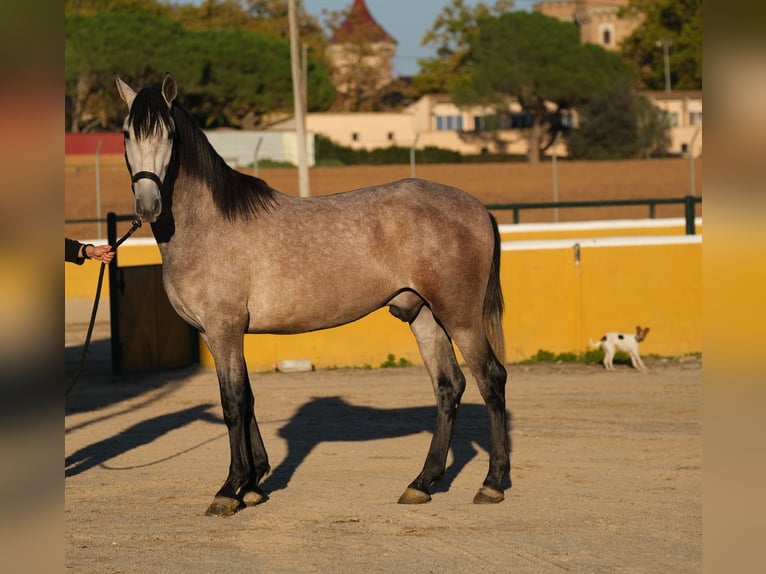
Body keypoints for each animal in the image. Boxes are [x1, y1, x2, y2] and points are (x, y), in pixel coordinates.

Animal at [115, 74, 510, 520]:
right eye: (127, 133)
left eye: (168, 134)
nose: (148, 205)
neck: (208, 224)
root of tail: (477, 208)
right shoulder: (217, 334)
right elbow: (248, 399)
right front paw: (254, 485)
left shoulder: (224, 329)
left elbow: (232, 403)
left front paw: (231, 488)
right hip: (424, 315)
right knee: (449, 386)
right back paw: (421, 483)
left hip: (460, 316)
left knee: (490, 379)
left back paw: (492, 483)